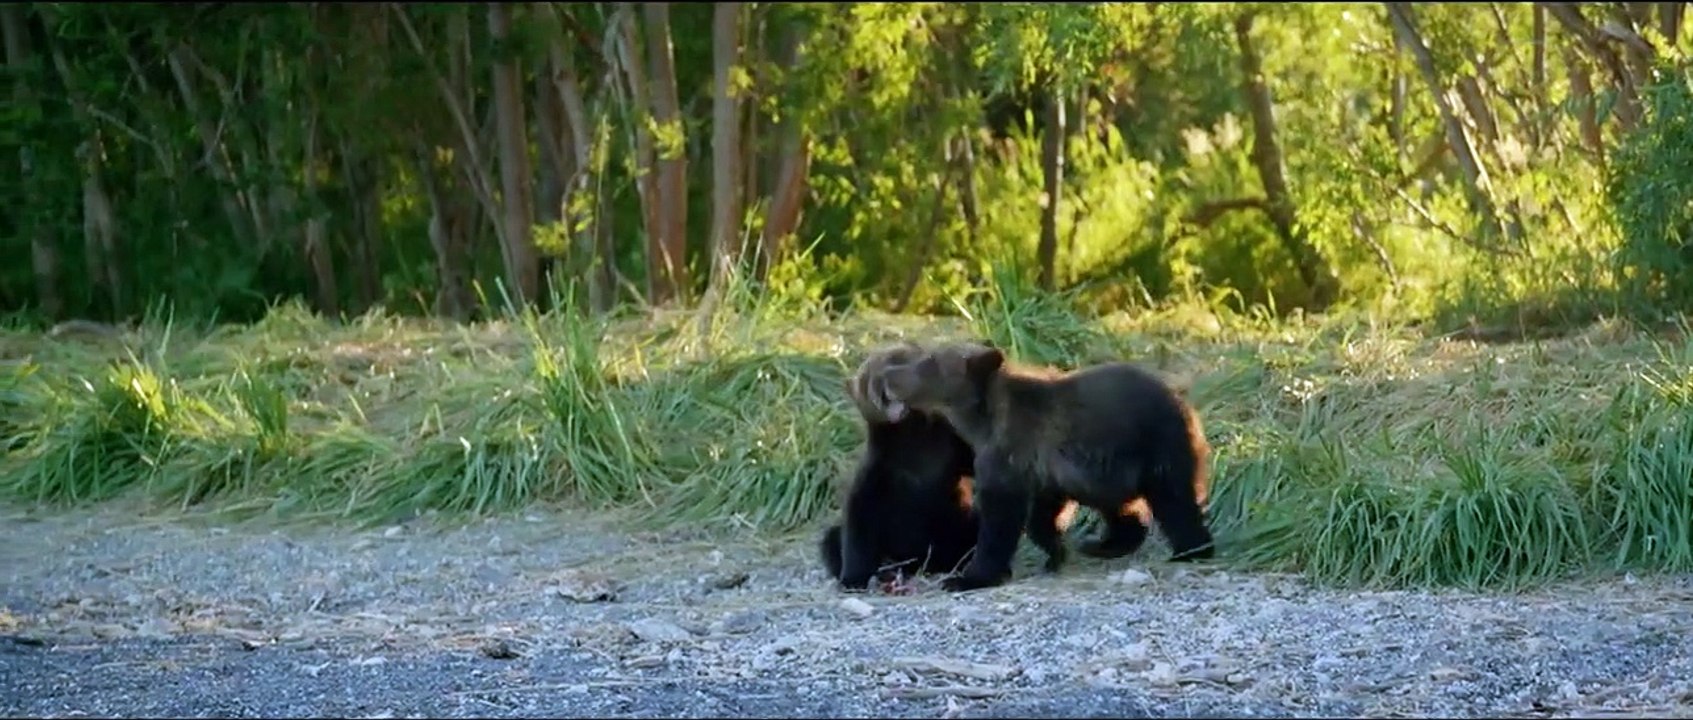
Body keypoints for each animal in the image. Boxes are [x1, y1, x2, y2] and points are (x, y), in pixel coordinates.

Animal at [817, 341, 983, 590]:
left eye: (898, 358)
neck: (912, 439)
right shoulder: (877, 473)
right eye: (865, 379)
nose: (883, 388)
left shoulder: (953, 450)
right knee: (832, 539)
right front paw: (852, 579)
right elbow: (857, 523)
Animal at [876, 340, 1215, 592]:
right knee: (1124, 510)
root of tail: (1187, 406)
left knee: (1175, 501)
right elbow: (1042, 515)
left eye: (929, 362)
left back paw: (1191, 551)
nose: (889, 376)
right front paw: (1055, 553)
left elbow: (1000, 519)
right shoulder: (1045, 469)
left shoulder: (1010, 455)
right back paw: (1103, 544)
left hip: (1153, 444)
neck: (981, 422)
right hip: (1110, 471)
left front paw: (968, 577)